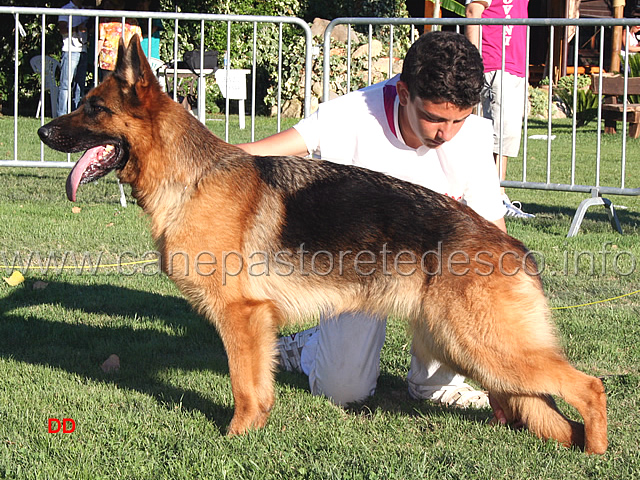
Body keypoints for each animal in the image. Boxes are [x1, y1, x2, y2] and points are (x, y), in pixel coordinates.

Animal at [37, 38, 608, 454]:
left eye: (93, 108)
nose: (42, 131)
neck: (190, 177)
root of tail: (510, 244)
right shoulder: (256, 323)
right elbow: (258, 384)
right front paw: (253, 432)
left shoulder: (241, 317)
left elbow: (243, 385)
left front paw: (235, 438)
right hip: (459, 344)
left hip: (480, 345)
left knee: (590, 386)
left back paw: (596, 451)